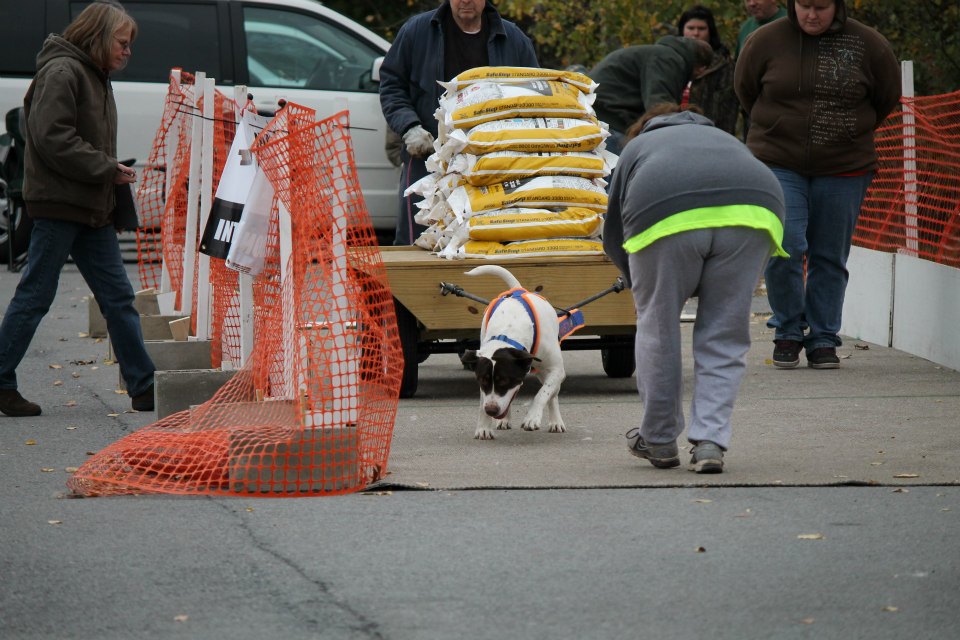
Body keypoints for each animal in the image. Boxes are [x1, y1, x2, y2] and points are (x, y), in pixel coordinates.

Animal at [462, 264, 568, 440]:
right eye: (483, 380)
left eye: (505, 380)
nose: (491, 410)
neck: (507, 332)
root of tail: (518, 289)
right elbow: (483, 400)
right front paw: (484, 427)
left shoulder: (556, 370)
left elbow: (543, 393)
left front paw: (532, 417)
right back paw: (504, 420)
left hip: (546, 371)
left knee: (552, 393)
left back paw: (556, 422)